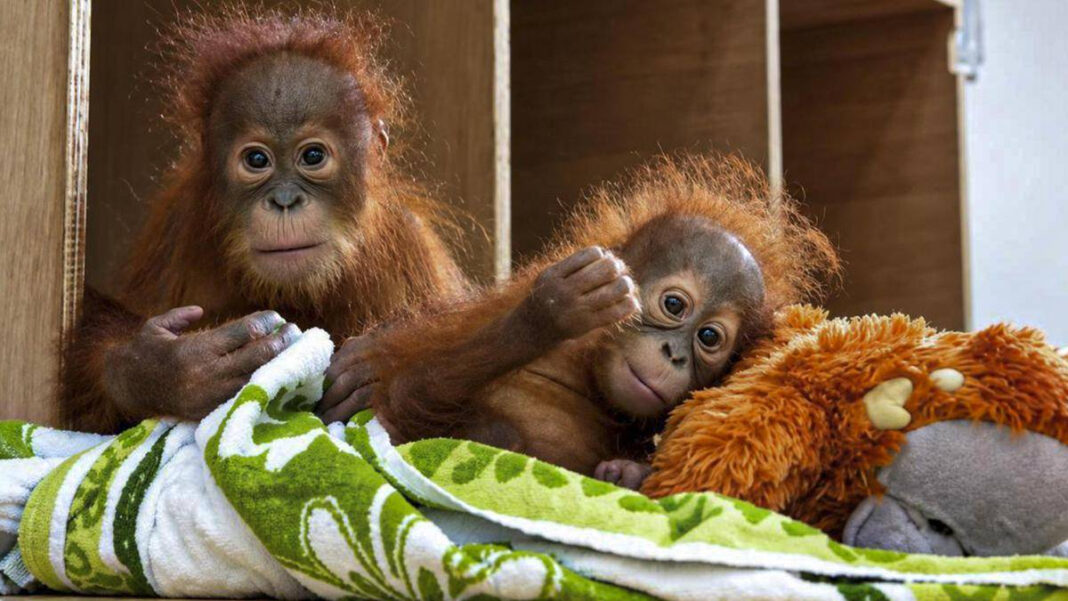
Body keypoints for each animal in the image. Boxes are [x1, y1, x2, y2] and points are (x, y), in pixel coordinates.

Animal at [60, 8, 468, 433]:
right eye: (257, 160)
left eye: (313, 156)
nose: (285, 201)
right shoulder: (173, 228)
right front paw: (169, 369)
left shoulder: (414, 247)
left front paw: (376, 361)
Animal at [317, 155, 839, 489]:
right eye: (674, 306)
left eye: (709, 337)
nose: (674, 354)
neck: (587, 375)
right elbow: (400, 407)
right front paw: (553, 307)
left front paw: (626, 474)